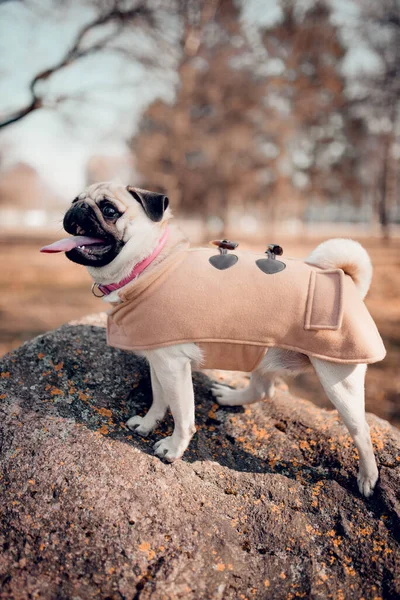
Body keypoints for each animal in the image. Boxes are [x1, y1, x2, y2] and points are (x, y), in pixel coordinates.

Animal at [41, 182, 384, 496]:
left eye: (109, 209)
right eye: (74, 200)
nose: (78, 208)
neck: (152, 265)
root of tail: (348, 281)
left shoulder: (174, 365)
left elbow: (182, 413)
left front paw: (173, 449)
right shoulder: (159, 361)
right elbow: (159, 399)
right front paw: (148, 424)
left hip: (338, 380)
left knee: (361, 431)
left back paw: (367, 478)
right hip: (262, 353)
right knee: (263, 390)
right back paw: (230, 397)